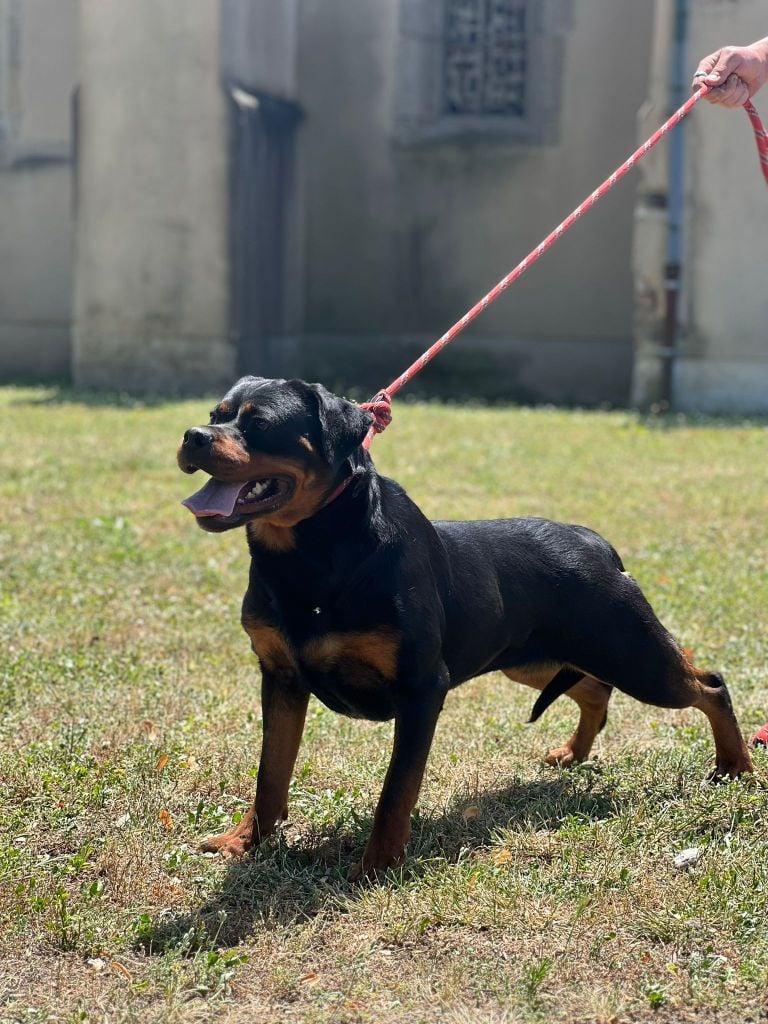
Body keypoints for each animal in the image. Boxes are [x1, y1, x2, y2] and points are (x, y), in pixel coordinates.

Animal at [178, 376, 753, 877]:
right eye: (216, 416)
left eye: (260, 423)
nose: (192, 436)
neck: (311, 555)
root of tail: (598, 544)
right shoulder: (280, 677)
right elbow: (271, 772)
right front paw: (245, 841)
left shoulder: (422, 687)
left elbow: (396, 790)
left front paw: (378, 866)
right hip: (537, 659)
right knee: (595, 690)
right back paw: (574, 753)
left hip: (634, 656)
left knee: (709, 685)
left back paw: (735, 766)